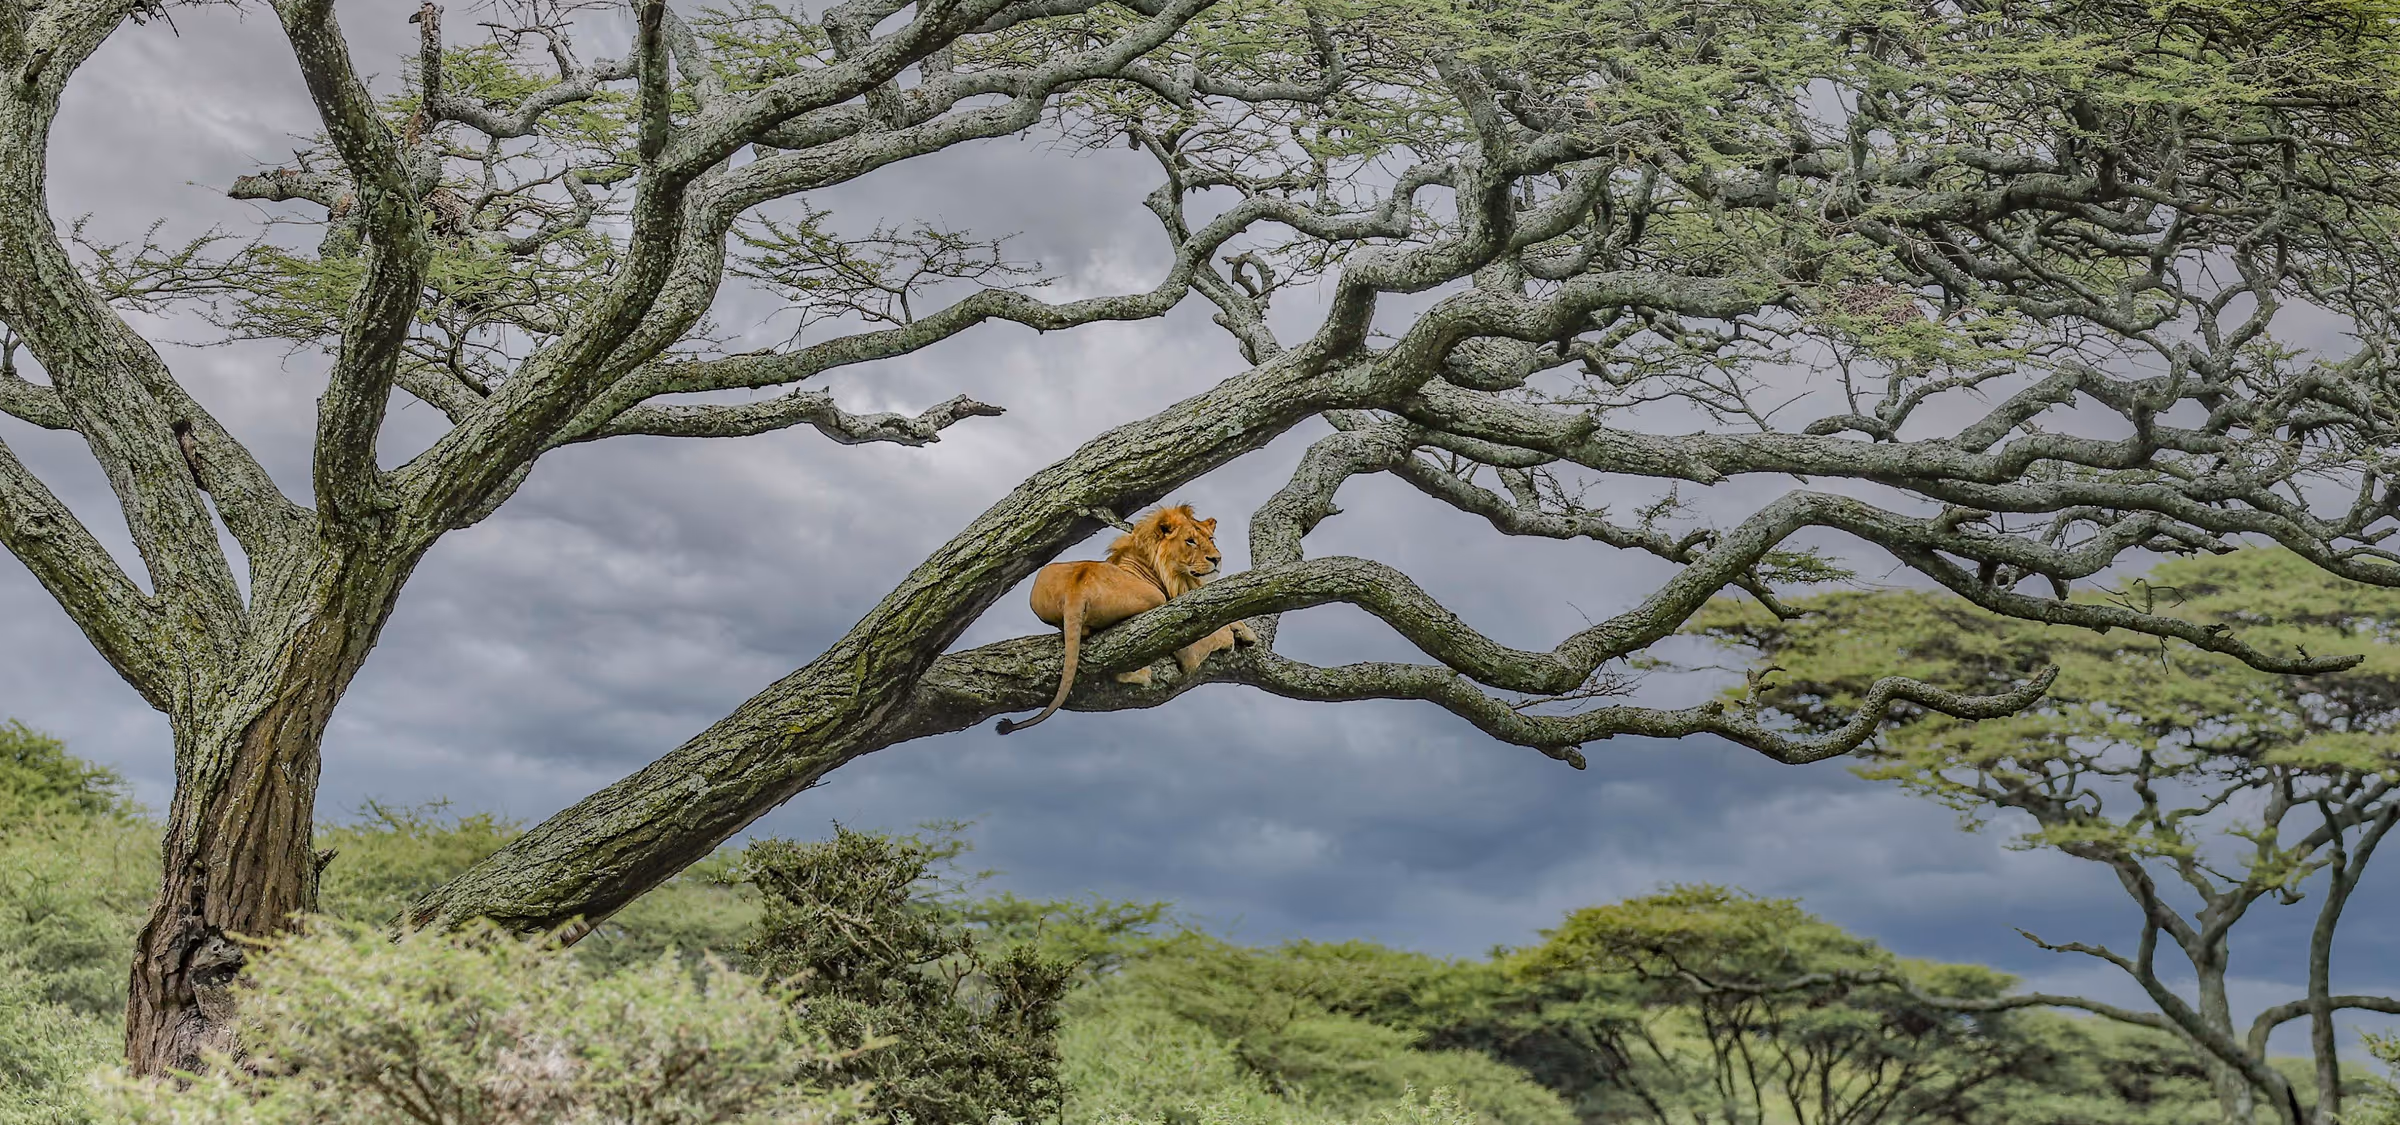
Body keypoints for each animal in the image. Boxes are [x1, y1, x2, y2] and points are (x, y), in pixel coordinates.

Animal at [995, 504, 1259, 734]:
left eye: (1211, 539)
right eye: (1190, 541)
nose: (1217, 558)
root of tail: (1076, 588)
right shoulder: (1185, 629)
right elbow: (1219, 629)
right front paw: (1239, 636)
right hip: (1156, 601)